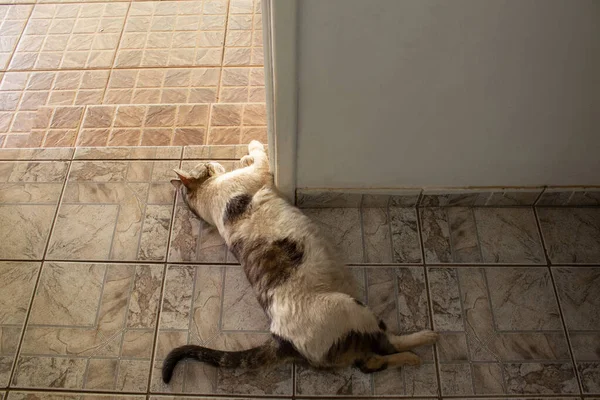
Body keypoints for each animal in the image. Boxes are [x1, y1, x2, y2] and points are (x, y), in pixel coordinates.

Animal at [162, 141, 438, 384]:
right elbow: (258, 151)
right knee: (383, 345)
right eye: (205, 165)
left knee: (369, 364)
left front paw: (243, 157)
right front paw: (251, 149)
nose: (215, 161)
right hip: (350, 308)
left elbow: (253, 157)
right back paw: (423, 341)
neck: (208, 202)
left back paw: (411, 357)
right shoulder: (257, 173)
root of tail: (282, 340)